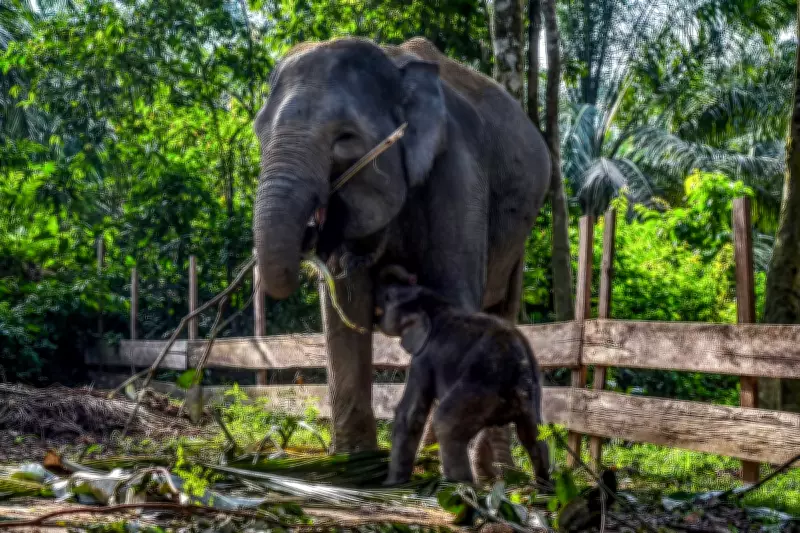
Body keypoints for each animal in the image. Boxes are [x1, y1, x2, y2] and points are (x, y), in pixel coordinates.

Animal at [253, 36, 551, 477]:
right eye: (260, 133)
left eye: (345, 138)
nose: (310, 237)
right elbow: (345, 313)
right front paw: (352, 461)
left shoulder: (458, 170)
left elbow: (455, 296)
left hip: (521, 236)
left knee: (502, 311)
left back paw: (491, 470)